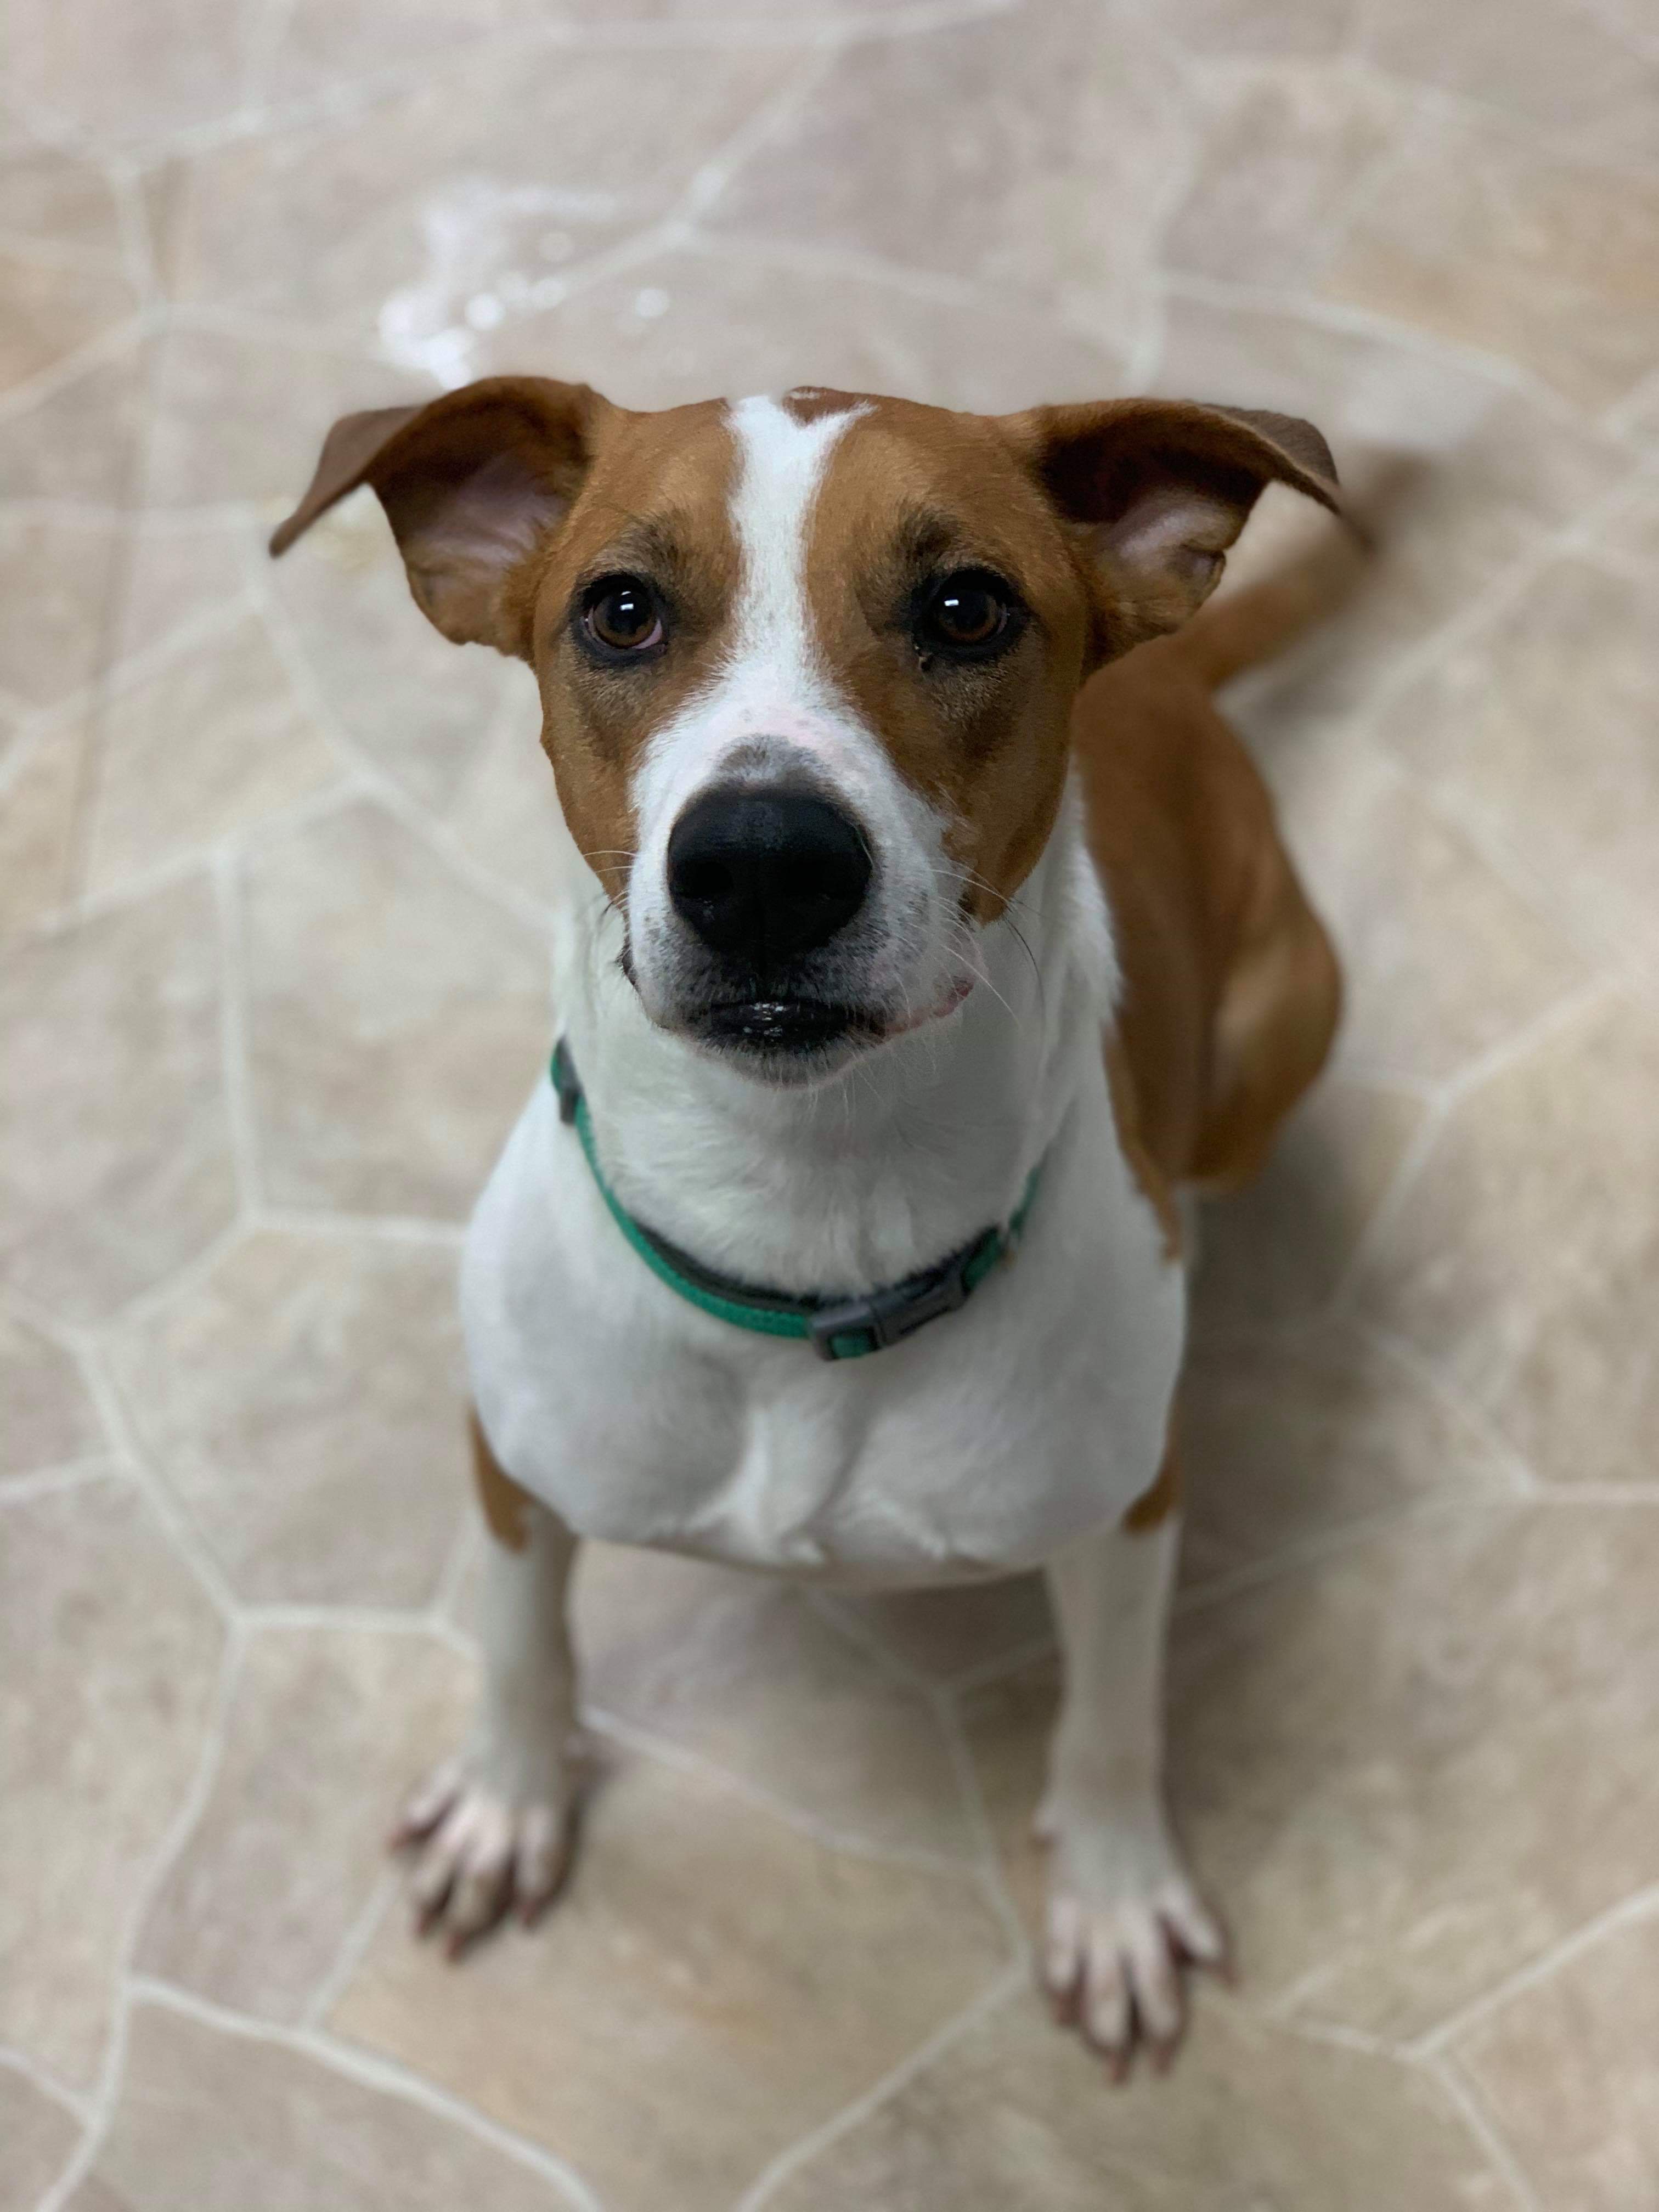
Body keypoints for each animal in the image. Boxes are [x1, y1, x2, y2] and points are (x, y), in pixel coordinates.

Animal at [269, 380, 1336, 2070]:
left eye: (966, 607)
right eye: (620, 611)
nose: (764, 860)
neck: (803, 1222)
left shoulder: (1125, 1514)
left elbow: (1113, 1716)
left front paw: (1113, 1894)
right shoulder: (516, 1458)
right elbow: (519, 1640)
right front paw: (511, 1800)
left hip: (1285, 1018)